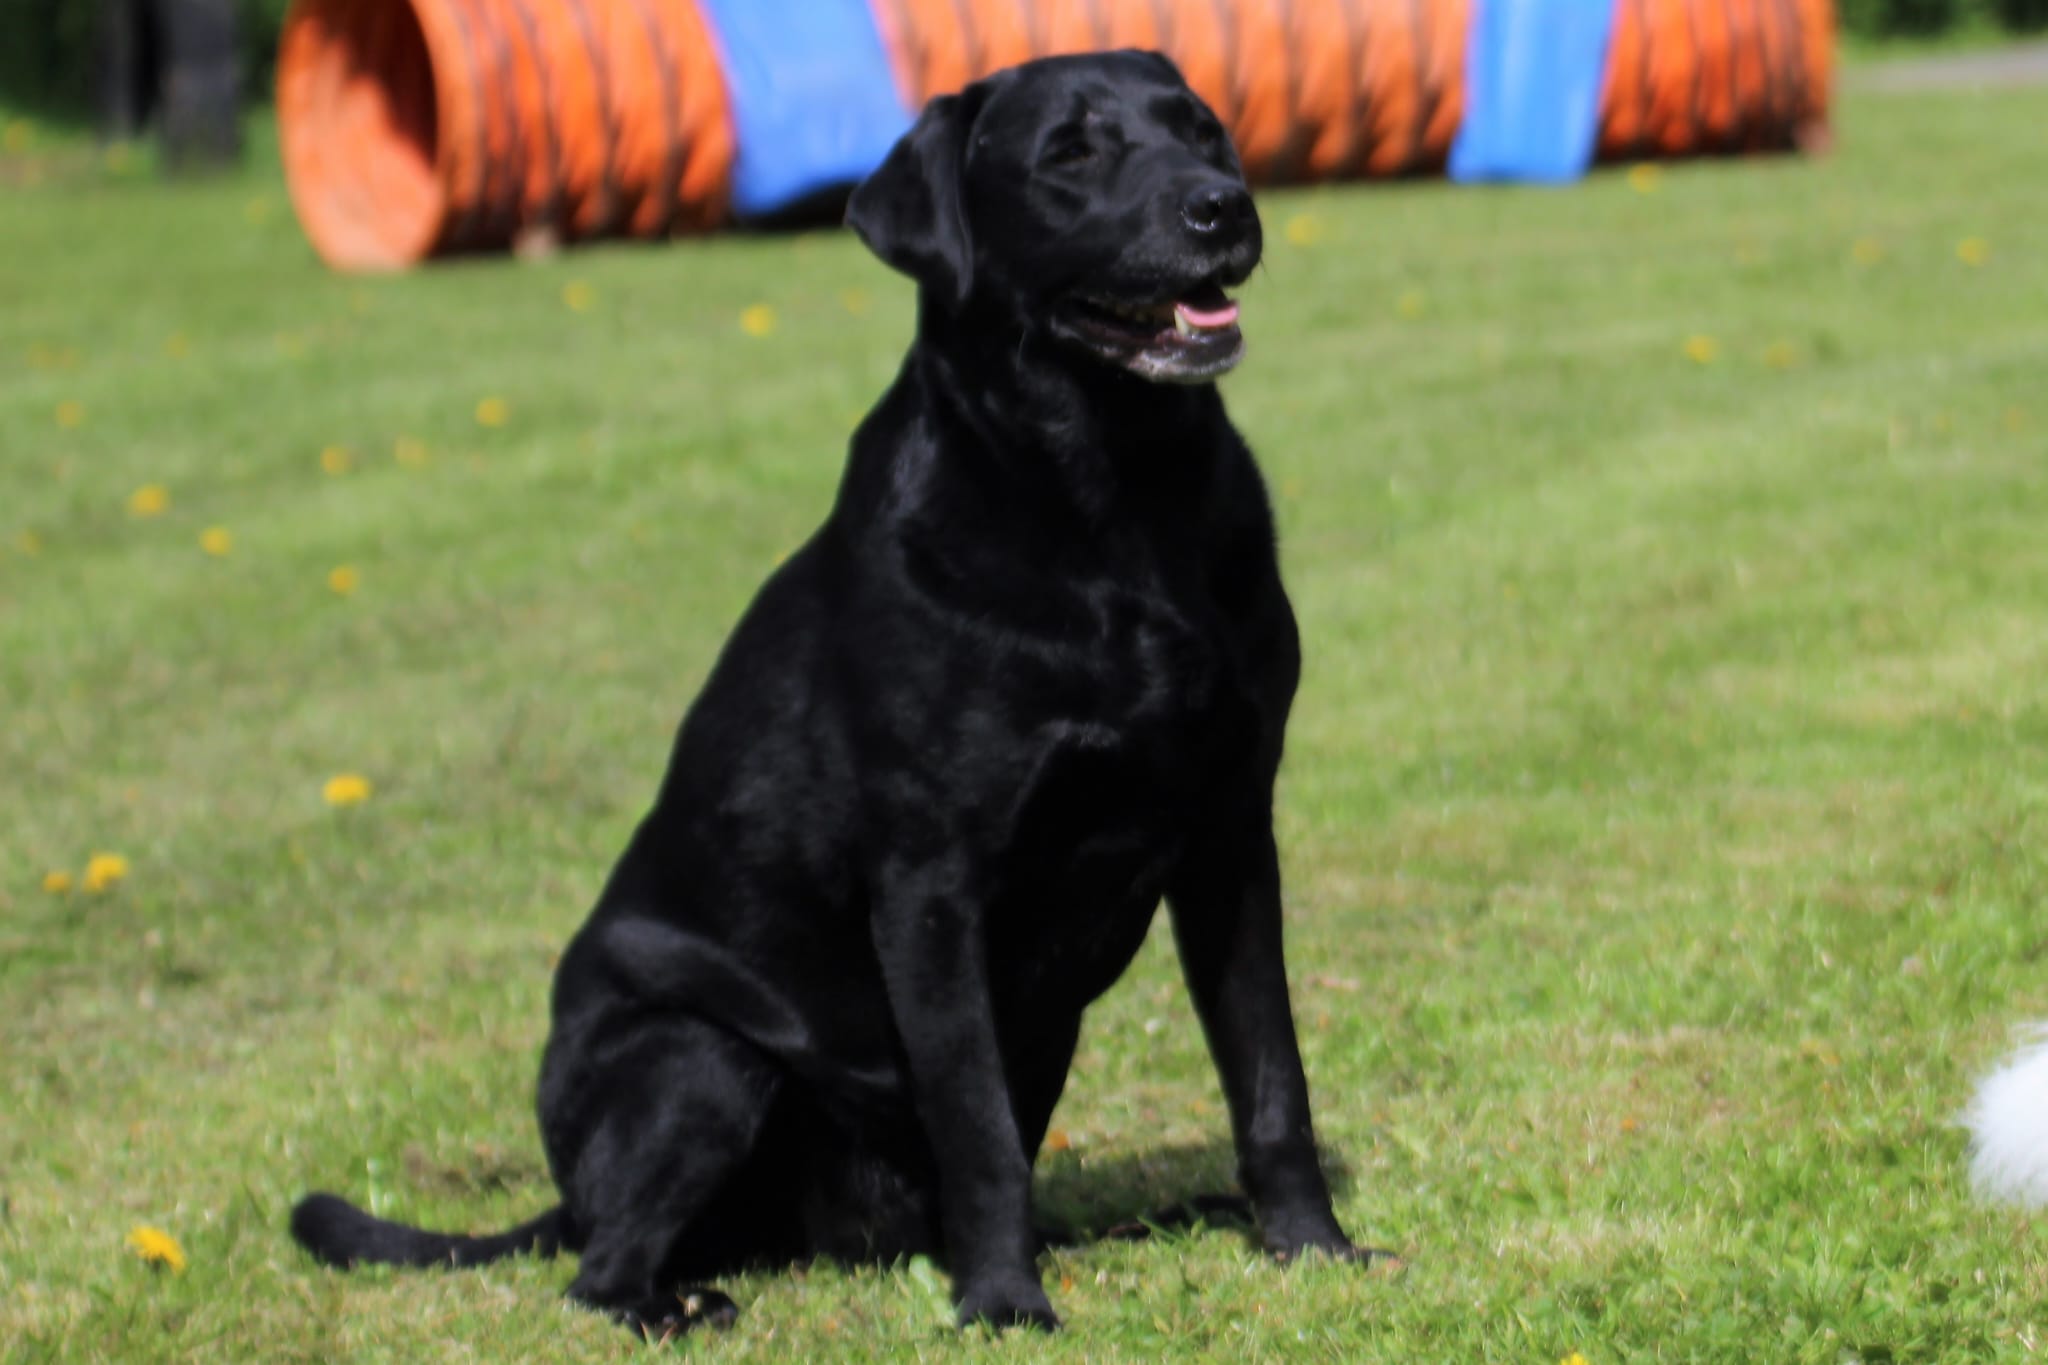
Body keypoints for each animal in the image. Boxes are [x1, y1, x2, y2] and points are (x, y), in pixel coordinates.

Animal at [288, 50, 1368, 1334]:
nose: (1222, 208)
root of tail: (568, 1194)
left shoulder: (1229, 833)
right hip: (699, 1057)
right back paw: (680, 1304)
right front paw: (1003, 1303)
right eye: (1069, 153)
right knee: (594, 1275)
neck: (1110, 504)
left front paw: (1309, 1245)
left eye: (1200, 130)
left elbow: (1270, 1075)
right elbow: (975, 1125)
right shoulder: (930, 885)